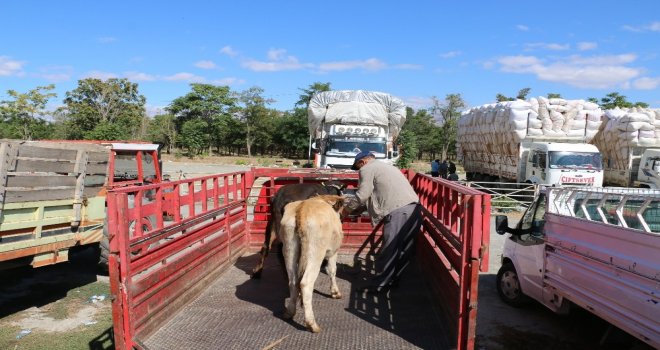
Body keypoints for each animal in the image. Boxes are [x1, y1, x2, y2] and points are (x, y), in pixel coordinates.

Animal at [278, 194, 346, 334]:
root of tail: (303, 208)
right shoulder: (333, 252)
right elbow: (332, 270)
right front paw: (335, 292)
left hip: (288, 248)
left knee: (293, 282)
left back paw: (289, 313)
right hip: (315, 252)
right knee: (305, 283)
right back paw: (312, 324)